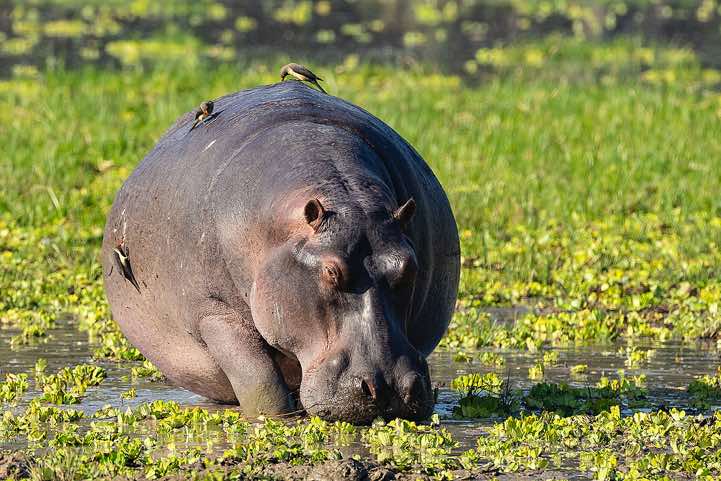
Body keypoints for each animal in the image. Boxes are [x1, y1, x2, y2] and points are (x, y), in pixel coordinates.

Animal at [102, 81, 460, 423]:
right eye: (331, 271)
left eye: (409, 267)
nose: (389, 388)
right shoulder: (213, 312)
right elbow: (259, 380)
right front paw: (277, 419)